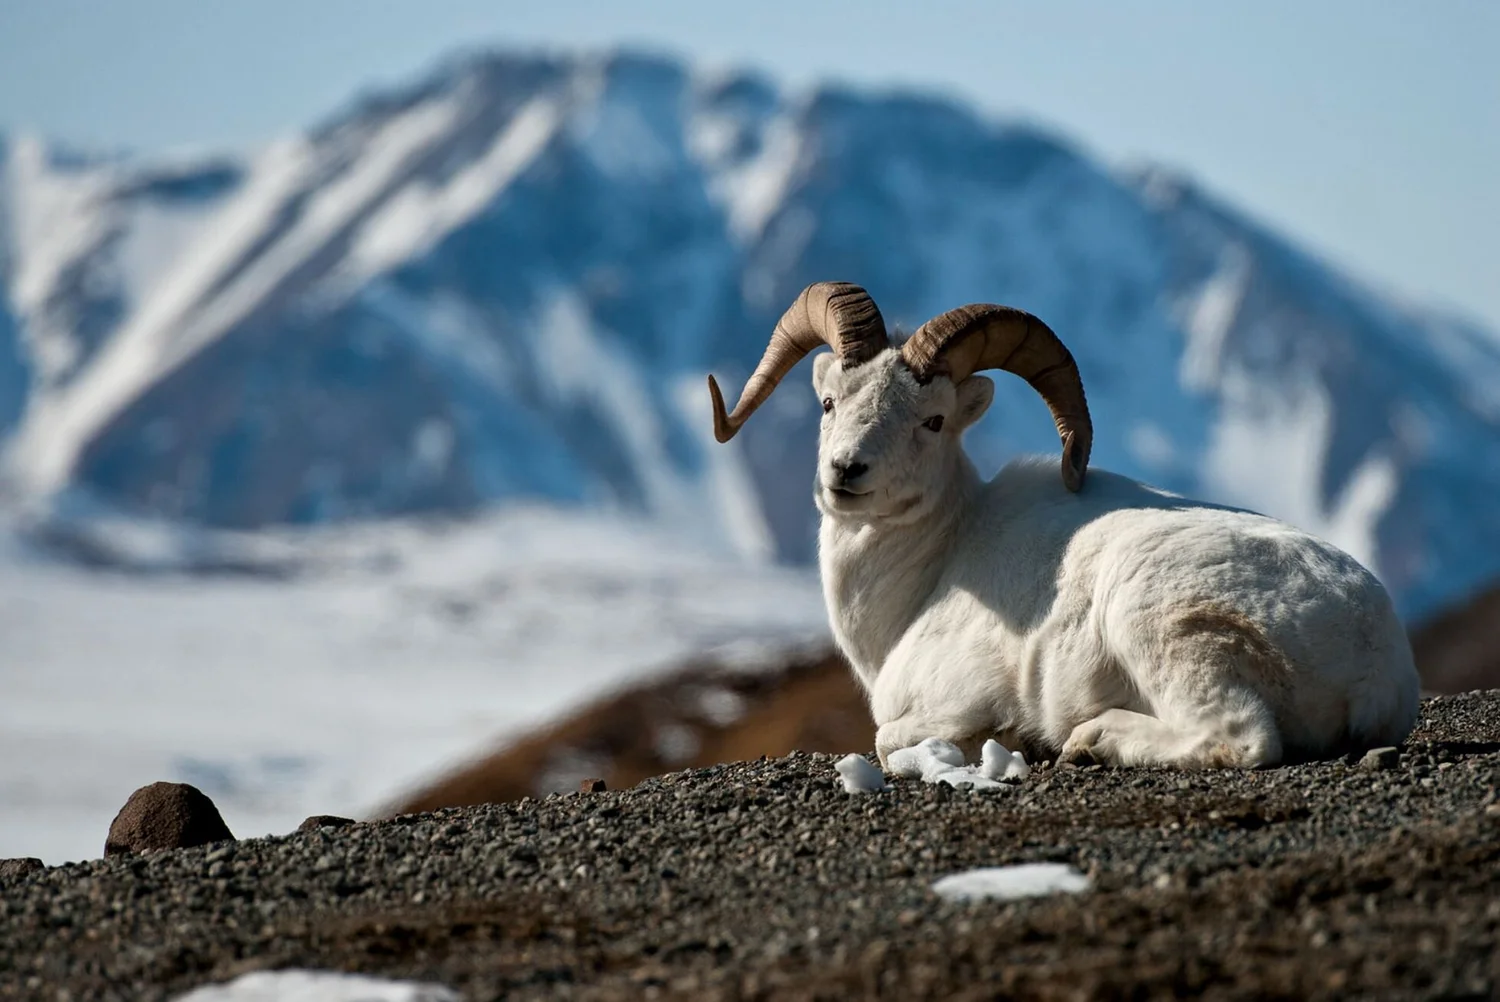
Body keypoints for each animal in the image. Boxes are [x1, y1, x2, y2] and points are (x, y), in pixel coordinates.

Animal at [708, 282, 1421, 769]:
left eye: (932, 420)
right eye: (830, 403)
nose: (845, 472)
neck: (935, 568)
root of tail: (1373, 653)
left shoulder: (953, 699)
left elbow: (888, 740)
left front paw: (1010, 738)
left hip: (1161, 625)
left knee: (1240, 737)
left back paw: (1090, 740)